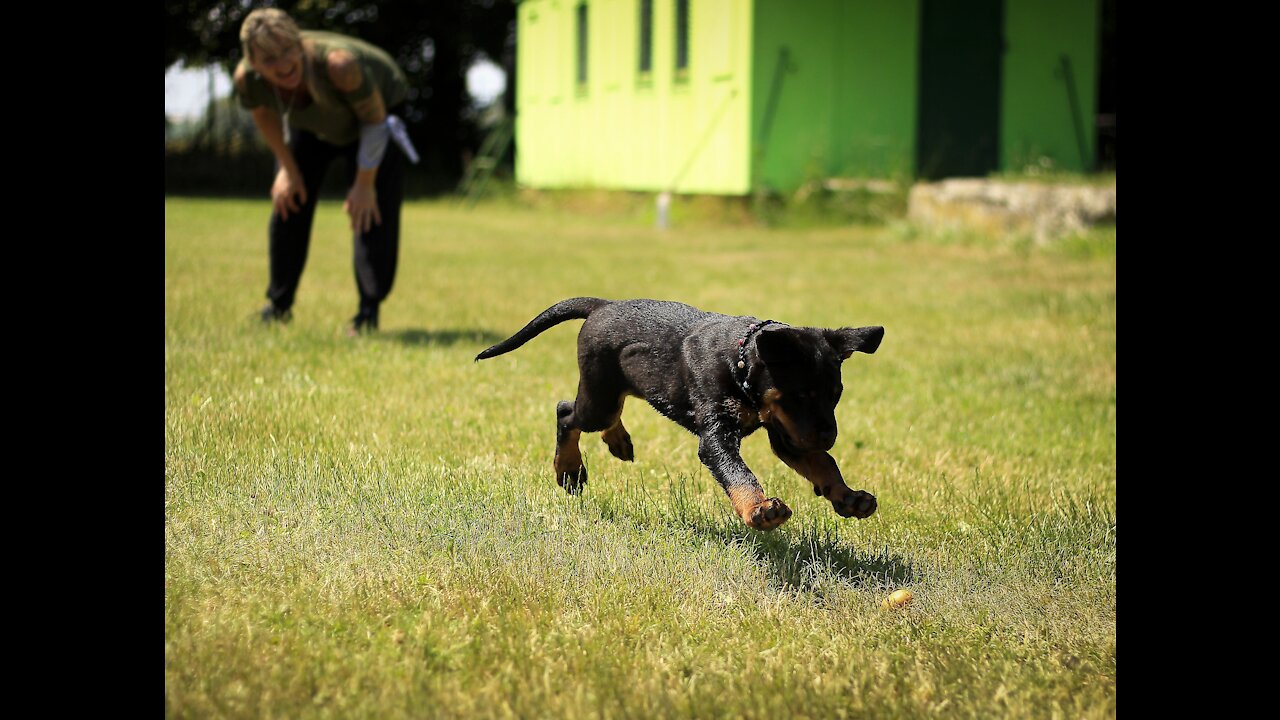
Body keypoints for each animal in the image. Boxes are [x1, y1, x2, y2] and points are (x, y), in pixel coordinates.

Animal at [476, 295, 885, 527]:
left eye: (835, 395)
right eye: (799, 395)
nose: (829, 436)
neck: (740, 363)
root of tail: (602, 305)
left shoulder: (787, 434)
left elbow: (823, 464)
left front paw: (848, 497)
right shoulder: (719, 435)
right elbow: (739, 474)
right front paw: (760, 510)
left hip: (616, 389)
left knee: (607, 412)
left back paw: (618, 441)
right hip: (598, 397)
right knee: (566, 413)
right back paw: (570, 470)